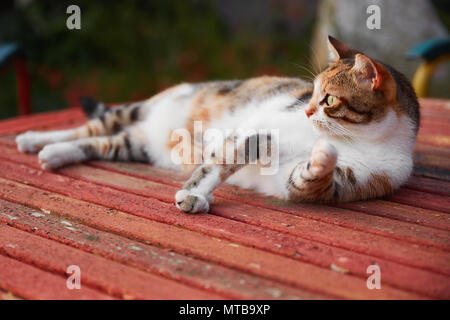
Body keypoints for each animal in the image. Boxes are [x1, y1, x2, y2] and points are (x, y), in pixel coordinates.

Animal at [14, 36, 422, 214]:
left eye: (330, 100)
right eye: (312, 93)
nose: (307, 112)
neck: (358, 138)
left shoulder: (344, 180)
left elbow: (307, 180)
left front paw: (323, 157)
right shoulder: (259, 131)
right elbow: (219, 164)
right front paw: (194, 194)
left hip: (135, 144)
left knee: (97, 143)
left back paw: (54, 154)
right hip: (138, 109)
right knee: (90, 127)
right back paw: (36, 140)